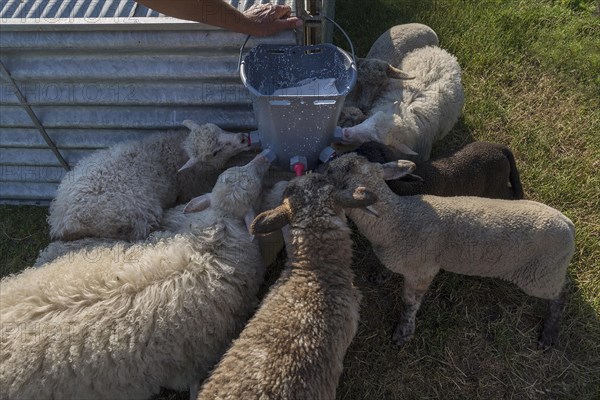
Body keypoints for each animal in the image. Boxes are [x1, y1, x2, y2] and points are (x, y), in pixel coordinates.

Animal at [47, 119, 251, 241]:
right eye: (215, 152)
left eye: (220, 128)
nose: (245, 138)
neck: (177, 153)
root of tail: (61, 219)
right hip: (136, 217)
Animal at [324, 155, 576, 348]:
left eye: (337, 176)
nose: (324, 163)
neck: (397, 219)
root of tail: (568, 224)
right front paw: (380, 275)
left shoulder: (423, 270)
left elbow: (410, 302)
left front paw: (404, 331)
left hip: (541, 274)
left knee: (560, 295)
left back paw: (549, 334)